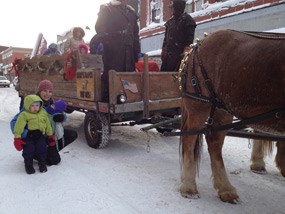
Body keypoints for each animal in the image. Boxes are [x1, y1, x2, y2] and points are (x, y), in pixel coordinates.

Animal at [179, 29, 284, 203]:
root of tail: (197, 45)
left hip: (222, 109)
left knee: (214, 142)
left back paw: (225, 188)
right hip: (200, 105)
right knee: (189, 138)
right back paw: (189, 187)